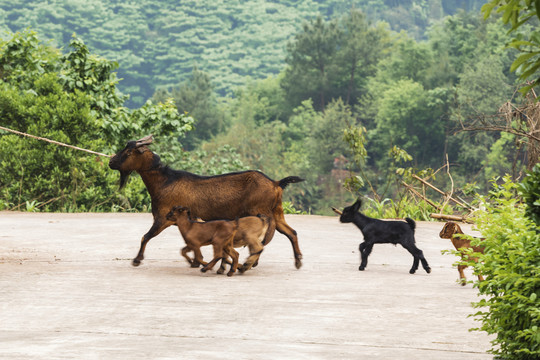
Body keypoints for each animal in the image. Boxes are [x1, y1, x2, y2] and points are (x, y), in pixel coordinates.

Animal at [107, 135, 306, 268]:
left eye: (128, 151)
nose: (111, 162)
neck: (164, 181)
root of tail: (276, 183)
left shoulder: (163, 217)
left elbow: (145, 236)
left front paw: (136, 260)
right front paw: (197, 261)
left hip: (261, 211)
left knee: (266, 238)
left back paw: (250, 263)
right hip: (277, 211)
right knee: (291, 232)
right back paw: (297, 261)